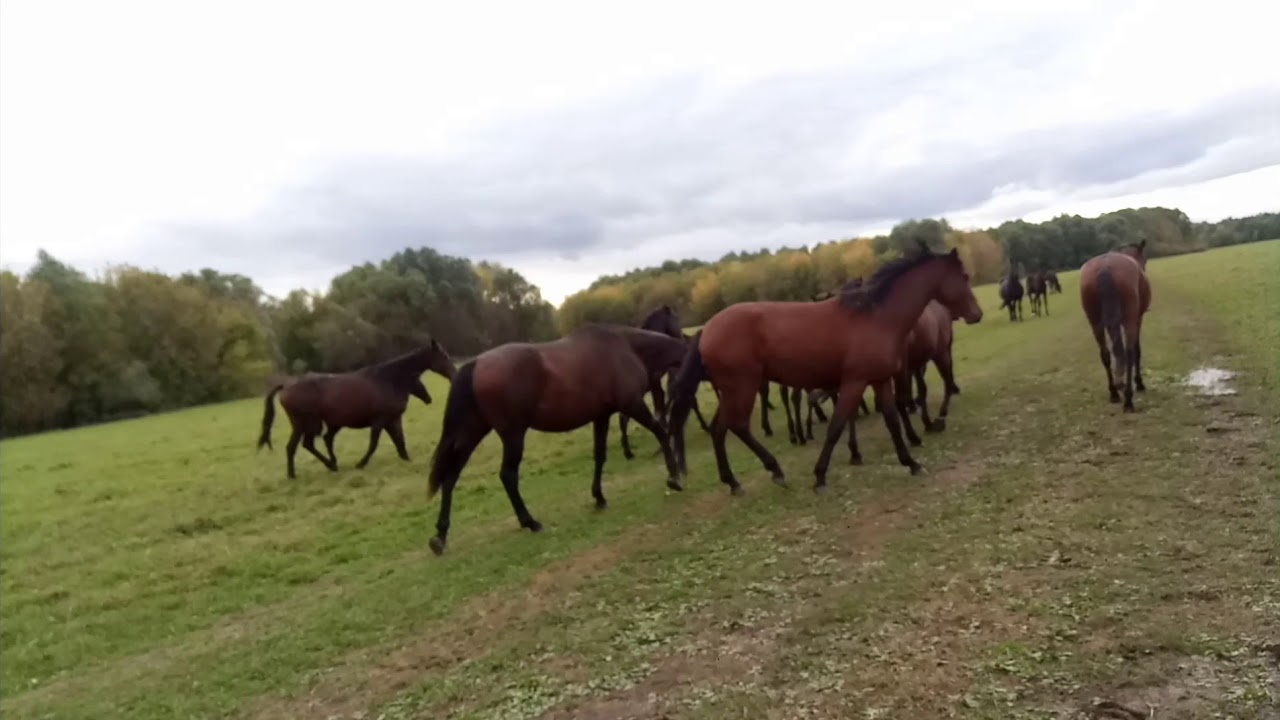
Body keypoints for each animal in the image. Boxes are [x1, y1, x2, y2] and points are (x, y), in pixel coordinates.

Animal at [257, 341, 456, 479]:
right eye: (444, 356)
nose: (454, 374)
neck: (388, 380)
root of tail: (285, 386)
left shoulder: (393, 420)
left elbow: (400, 441)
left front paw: (407, 460)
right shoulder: (379, 421)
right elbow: (374, 444)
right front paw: (361, 464)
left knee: (312, 443)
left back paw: (329, 465)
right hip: (307, 424)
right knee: (299, 446)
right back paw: (302, 472)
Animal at [425, 324, 689, 555]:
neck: (626, 346)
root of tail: (476, 363)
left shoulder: (601, 416)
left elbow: (599, 456)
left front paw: (599, 497)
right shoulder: (632, 404)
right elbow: (661, 433)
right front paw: (674, 478)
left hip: (472, 432)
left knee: (451, 476)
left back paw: (440, 536)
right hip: (512, 434)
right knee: (507, 475)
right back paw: (530, 522)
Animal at [667, 243, 983, 495]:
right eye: (965, 277)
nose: (976, 314)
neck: (876, 317)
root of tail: (707, 329)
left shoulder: (879, 380)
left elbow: (892, 419)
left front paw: (911, 462)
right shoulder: (854, 383)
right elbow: (837, 426)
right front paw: (820, 476)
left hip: (731, 391)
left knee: (719, 429)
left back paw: (733, 482)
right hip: (743, 387)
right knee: (736, 426)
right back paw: (774, 471)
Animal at [1079, 240, 1150, 412]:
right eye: (1145, 259)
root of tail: (1105, 267)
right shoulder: (1137, 319)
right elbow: (1137, 351)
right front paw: (1139, 383)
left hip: (1095, 322)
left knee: (1105, 354)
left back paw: (1114, 393)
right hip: (1129, 319)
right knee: (1129, 353)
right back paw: (1128, 400)